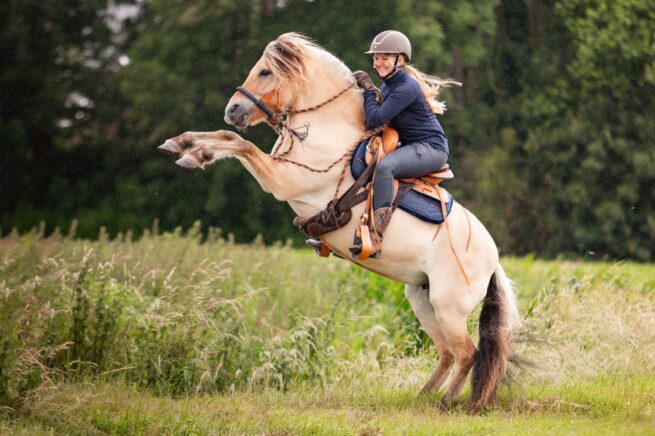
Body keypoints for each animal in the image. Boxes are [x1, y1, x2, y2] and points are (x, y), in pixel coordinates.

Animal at [156, 32, 520, 410]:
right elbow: (229, 138)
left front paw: (197, 154)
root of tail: (493, 261)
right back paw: (422, 396)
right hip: (423, 299)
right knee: (448, 353)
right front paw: (180, 144)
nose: (233, 109)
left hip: (448, 307)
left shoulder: (282, 179)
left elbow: (239, 143)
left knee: (466, 353)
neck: (327, 130)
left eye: (266, 72)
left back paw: (444, 403)